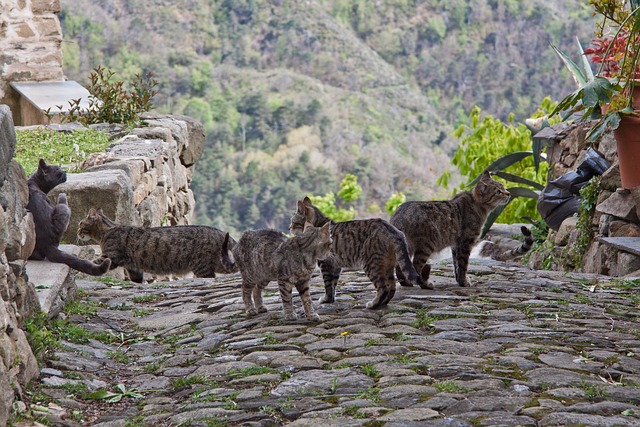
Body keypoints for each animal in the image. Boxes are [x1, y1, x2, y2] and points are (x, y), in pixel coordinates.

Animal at [77, 208, 238, 282]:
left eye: (80, 223)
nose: (77, 231)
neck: (106, 231)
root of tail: (220, 232)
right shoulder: (133, 267)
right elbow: (137, 280)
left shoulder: (109, 256)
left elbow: (90, 262)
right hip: (216, 264)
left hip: (202, 267)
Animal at [290, 197, 424, 310]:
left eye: (293, 222)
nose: (289, 228)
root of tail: (393, 230)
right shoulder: (335, 266)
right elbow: (333, 284)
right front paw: (331, 299)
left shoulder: (325, 264)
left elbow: (328, 285)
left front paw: (326, 299)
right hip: (387, 266)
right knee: (392, 287)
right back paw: (383, 303)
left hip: (371, 265)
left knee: (383, 288)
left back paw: (373, 304)